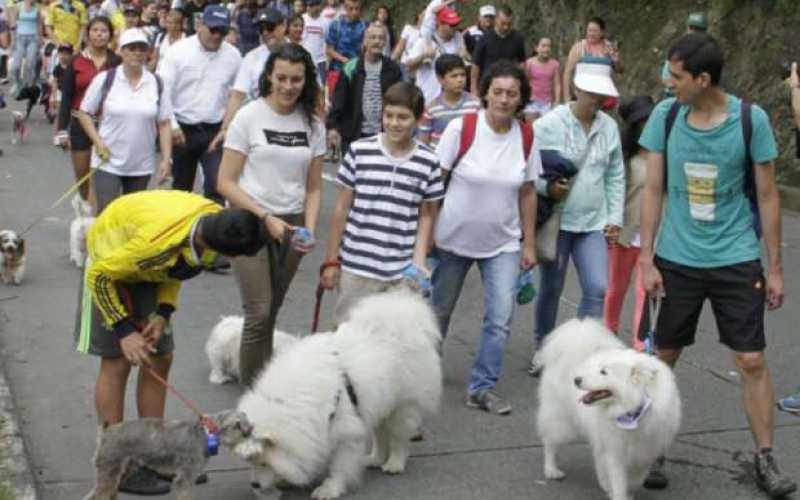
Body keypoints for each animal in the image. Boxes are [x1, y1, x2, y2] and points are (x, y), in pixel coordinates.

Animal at [83, 410, 252, 500]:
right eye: (236, 425)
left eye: (246, 422)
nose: (249, 432)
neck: (204, 434)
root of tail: (106, 431)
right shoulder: (186, 477)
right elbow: (185, 495)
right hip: (110, 469)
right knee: (98, 494)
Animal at [231, 290, 444, 500]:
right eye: (252, 462)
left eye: (264, 463)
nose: (255, 484)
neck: (290, 404)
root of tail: (405, 317)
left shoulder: (347, 434)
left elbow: (339, 467)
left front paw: (329, 489)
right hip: (378, 404)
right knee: (380, 435)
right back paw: (374, 459)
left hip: (402, 407)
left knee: (399, 438)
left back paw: (394, 464)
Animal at [536, 320, 680, 500]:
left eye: (603, 372)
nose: (576, 380)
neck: (633, 412)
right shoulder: (615, 450)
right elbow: (618, 481)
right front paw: (616, 492)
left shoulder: (645, 451)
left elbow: (637, 479)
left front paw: (626, 491)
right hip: (561, 419)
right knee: (550, 443)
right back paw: (551, 470)